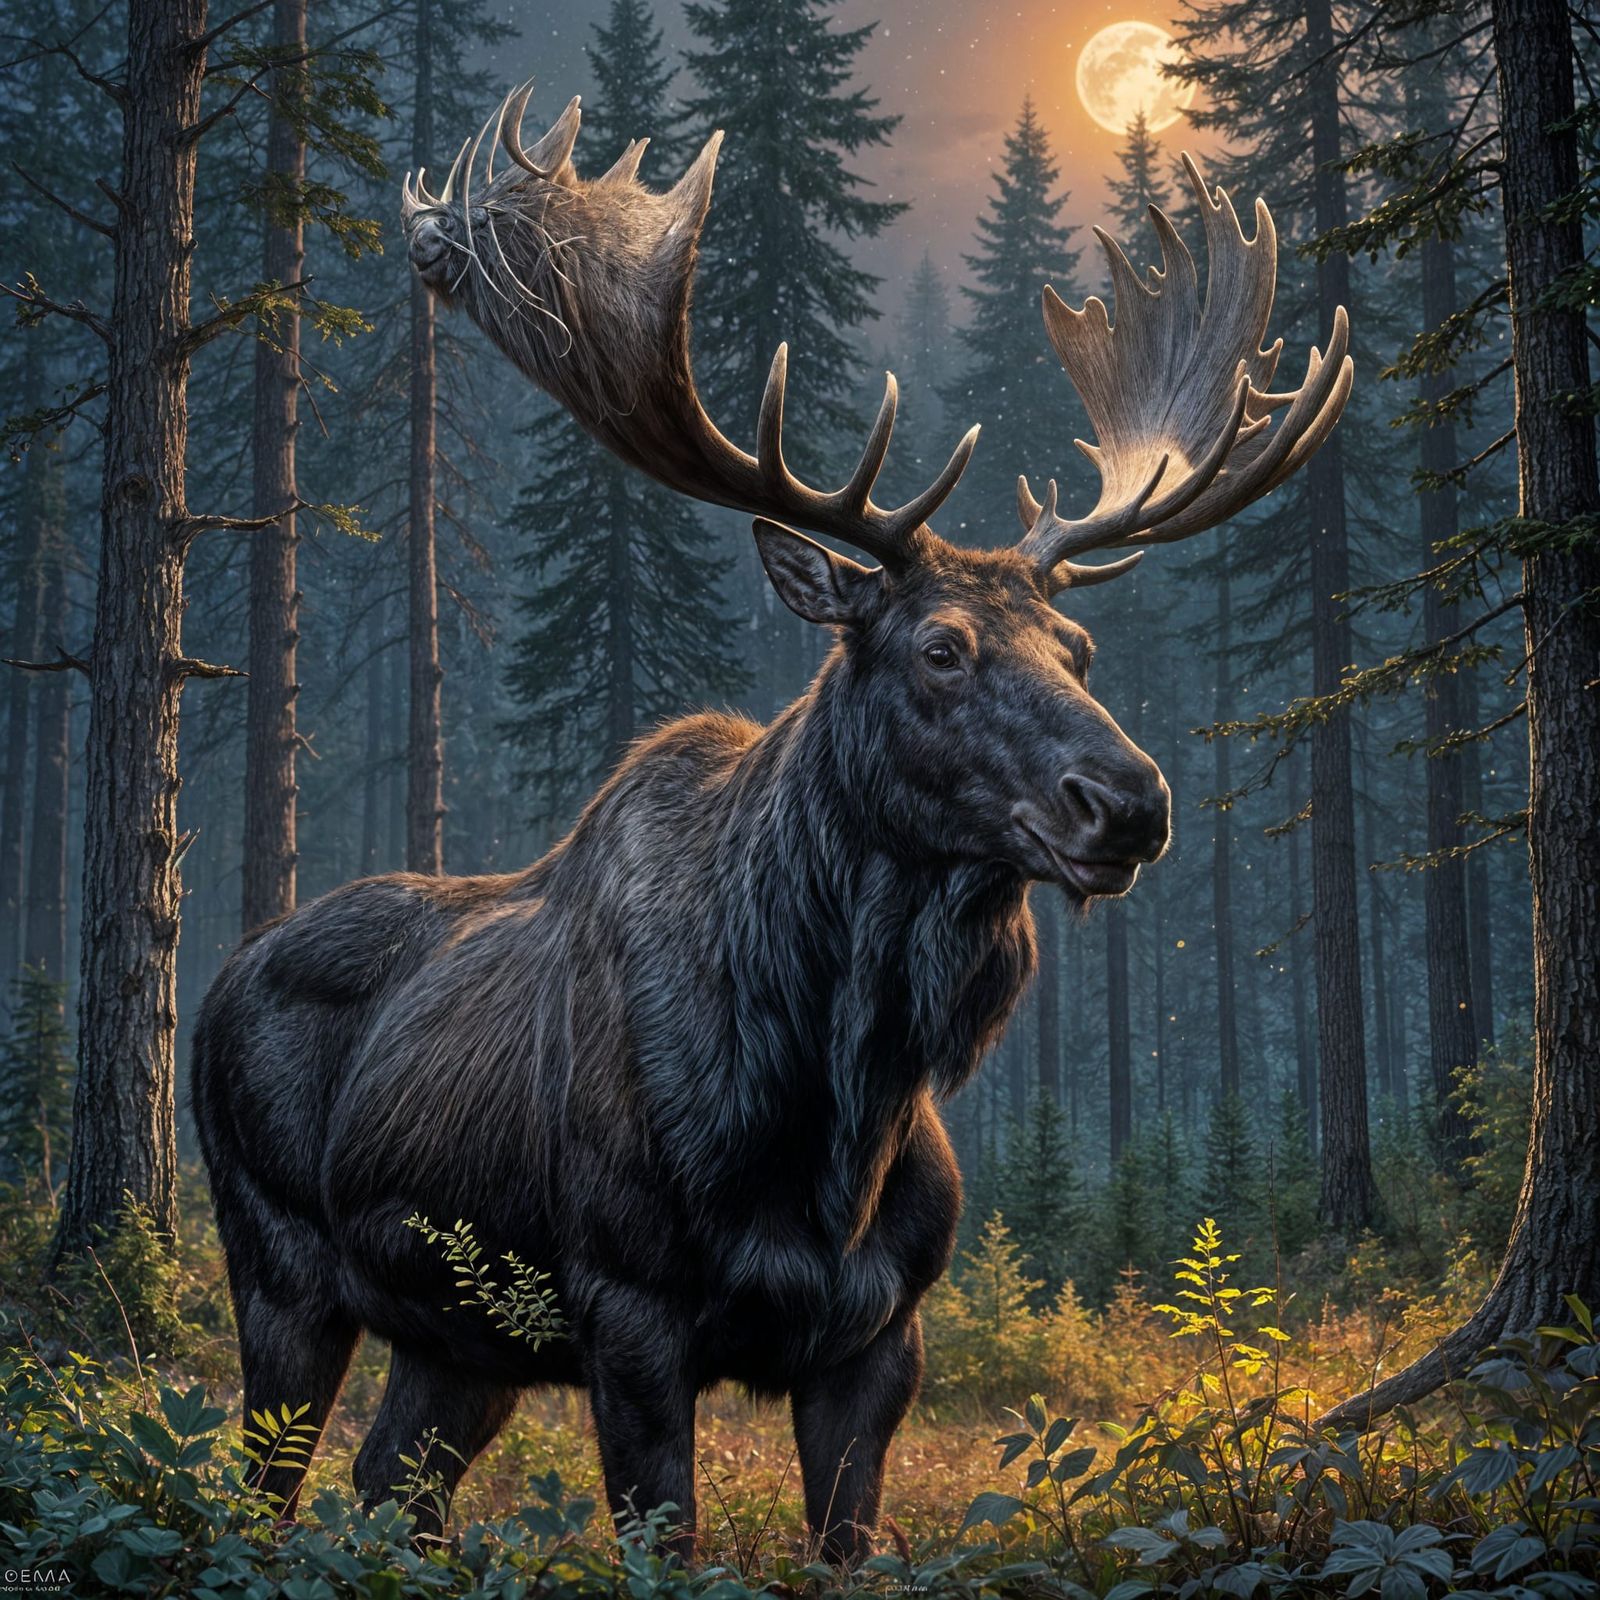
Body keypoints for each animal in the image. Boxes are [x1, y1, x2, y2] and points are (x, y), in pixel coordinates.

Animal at [192, 80, 1351, 1564]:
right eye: (939, 648)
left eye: (1080, 648)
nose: (1132, 803)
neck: (839, 1099)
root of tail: (221, 976)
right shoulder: (626, 1308)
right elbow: (663, 1533)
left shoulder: (879, 1336)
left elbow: (846, 1539)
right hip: (279, 1260)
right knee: (259, 1487)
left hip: (463, 1341)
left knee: (393, 1487)